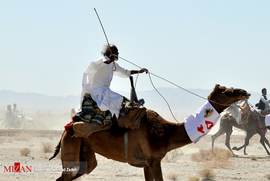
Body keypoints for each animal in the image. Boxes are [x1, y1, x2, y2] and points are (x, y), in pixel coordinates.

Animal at [49, 84, 251, 180]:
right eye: (227, 92)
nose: (245, 92)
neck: (167, 132)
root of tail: (67, 127)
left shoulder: (146, 163)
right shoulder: (154, 160)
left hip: (85, 153)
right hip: (71, 147)